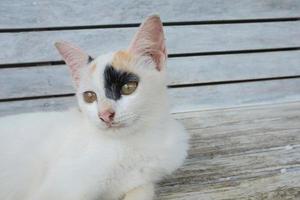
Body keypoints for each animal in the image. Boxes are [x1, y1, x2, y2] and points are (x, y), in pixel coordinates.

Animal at [0, 14, 189, 199]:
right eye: (89, 96)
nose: (105, 115)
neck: (134, 143)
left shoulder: (144, 179)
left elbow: (143, 189)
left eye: (128, 87)